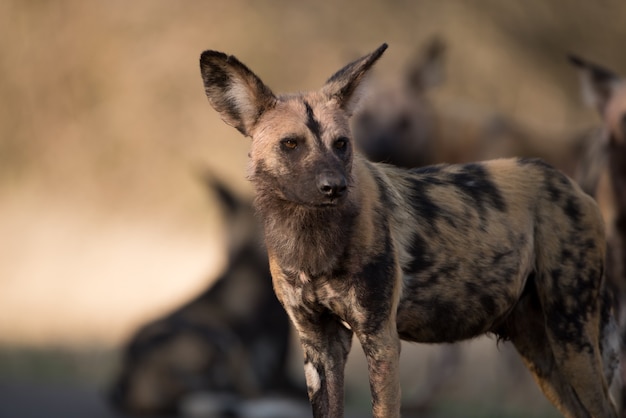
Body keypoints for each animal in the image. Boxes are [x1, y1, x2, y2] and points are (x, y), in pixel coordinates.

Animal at [199, 43, 616, 418]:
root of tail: (572, 184)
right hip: (542, 354)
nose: (334, 187)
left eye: (341, 144)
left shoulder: (380, 339)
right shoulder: (319, 347)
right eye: (290, 144)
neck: (313, 245)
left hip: (571, 337)